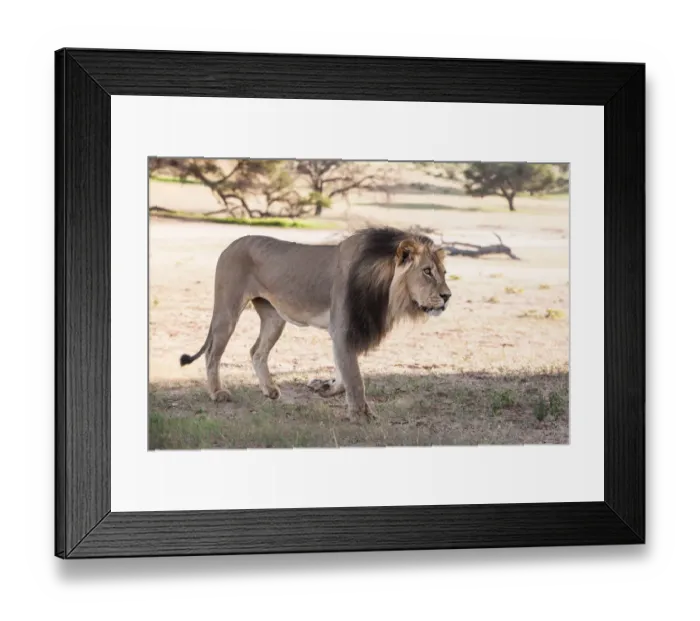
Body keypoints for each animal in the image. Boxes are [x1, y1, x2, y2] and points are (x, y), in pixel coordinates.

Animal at [179, 226, 452, 421]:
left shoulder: (345, 333)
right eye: (427, 271)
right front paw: (362, 416)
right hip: (228, 309)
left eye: (444, 272)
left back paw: (270, 390)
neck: (385, 288)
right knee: (213, 352)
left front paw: (326, 388)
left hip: (274, 318)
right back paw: (218, 393)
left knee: (257, 351)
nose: (447, 296)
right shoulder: (342, 328)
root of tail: (230, 245)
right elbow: (355, 377)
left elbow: (344, 371)